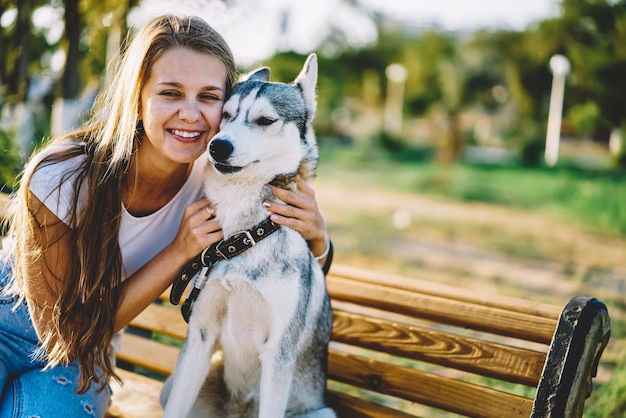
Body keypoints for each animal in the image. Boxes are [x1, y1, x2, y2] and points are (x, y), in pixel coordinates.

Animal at [161, 56, 336, 418]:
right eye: (225, 114)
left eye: (265, 120)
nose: (217, 145)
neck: (242, 235)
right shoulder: (200, 335)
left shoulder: (279, 353)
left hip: (322, 412)